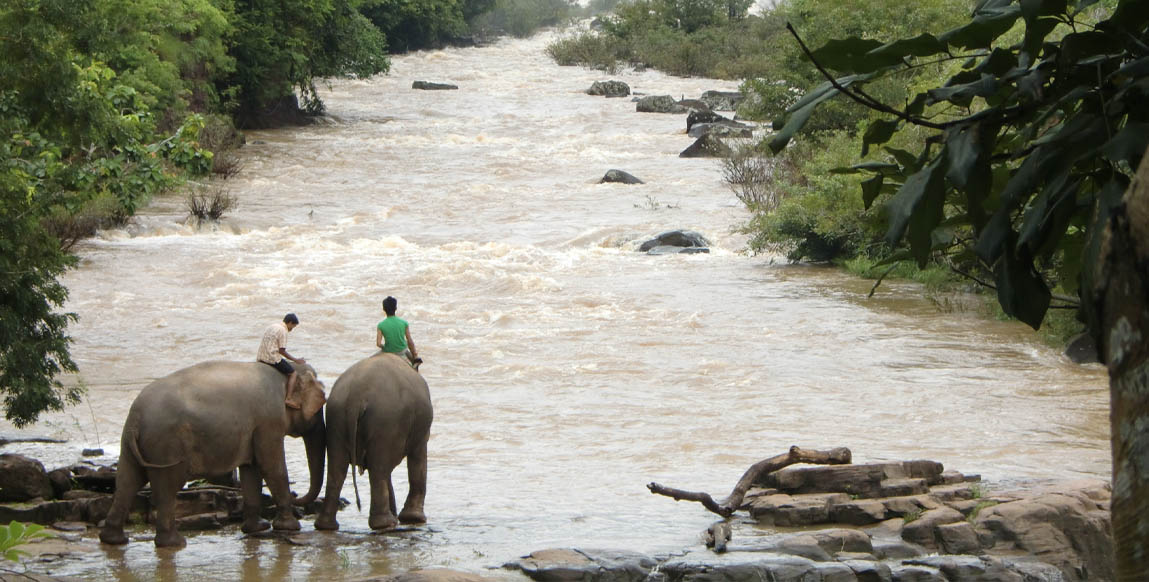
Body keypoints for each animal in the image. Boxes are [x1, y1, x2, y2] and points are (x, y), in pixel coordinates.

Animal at [98, 362, 328, 548]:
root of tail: (136, 417)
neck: (287, 373)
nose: (296, 495)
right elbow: (271, 465)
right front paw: (290, 527)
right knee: (166, 487)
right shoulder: (269, 421)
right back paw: (175, 543)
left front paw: (258, 528)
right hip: (167, 444)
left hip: (133, 444)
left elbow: (251, 469)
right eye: (320, 406)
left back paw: (114, 540)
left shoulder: (256, 427)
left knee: (127, 481)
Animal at [314, 351, 432, 532]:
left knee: (337, 468)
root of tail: (356, 396)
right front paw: (414, 519)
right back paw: (386, 524)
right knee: (379, 468)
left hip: (335, 418)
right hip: (384, 421)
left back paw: (326, 526)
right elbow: (418, 456)